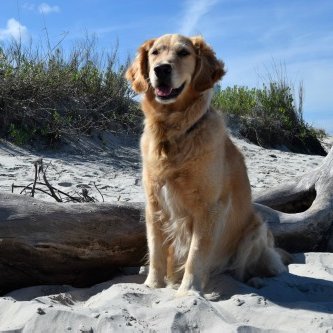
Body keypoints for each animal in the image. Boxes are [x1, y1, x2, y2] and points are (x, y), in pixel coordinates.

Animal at [126, 33, 286, 294]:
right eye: (155, 53)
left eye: (183, 53)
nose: (161, 69)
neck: (174, 133)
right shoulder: (154, 205)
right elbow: (156, 251)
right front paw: (152, 285)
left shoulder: (209, 208)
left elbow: (196, 253)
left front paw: (188, 291)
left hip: (256, 229)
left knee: (250, 270)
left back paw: (252, 280)